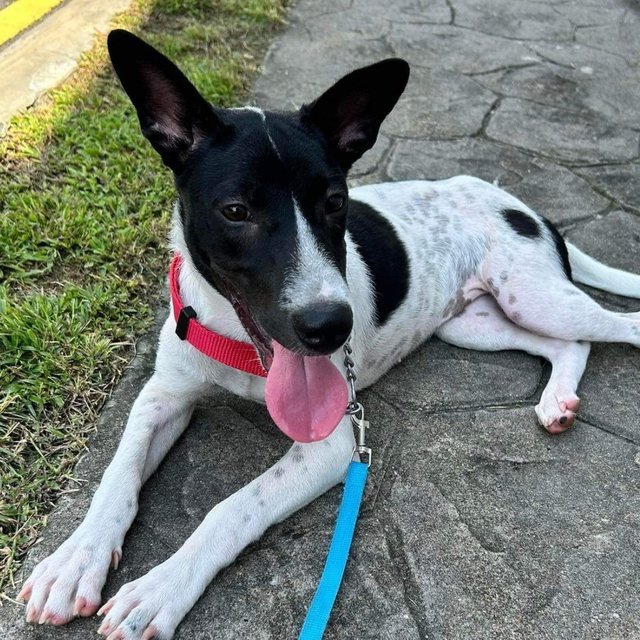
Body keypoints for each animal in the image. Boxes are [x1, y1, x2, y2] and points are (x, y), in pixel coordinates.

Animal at [18, 30, 640, 640]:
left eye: (336, 202)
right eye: (236, 211)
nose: (332, 327)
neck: (235, 340)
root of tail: (516, 202)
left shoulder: (330, 446)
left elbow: (231, 508)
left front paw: (160, 589)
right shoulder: (162, 396)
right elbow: (117, 472)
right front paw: (75, 559)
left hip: (534, 297)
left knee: (612, 327)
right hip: (476, 324)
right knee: (565, 344)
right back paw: (556, 401)